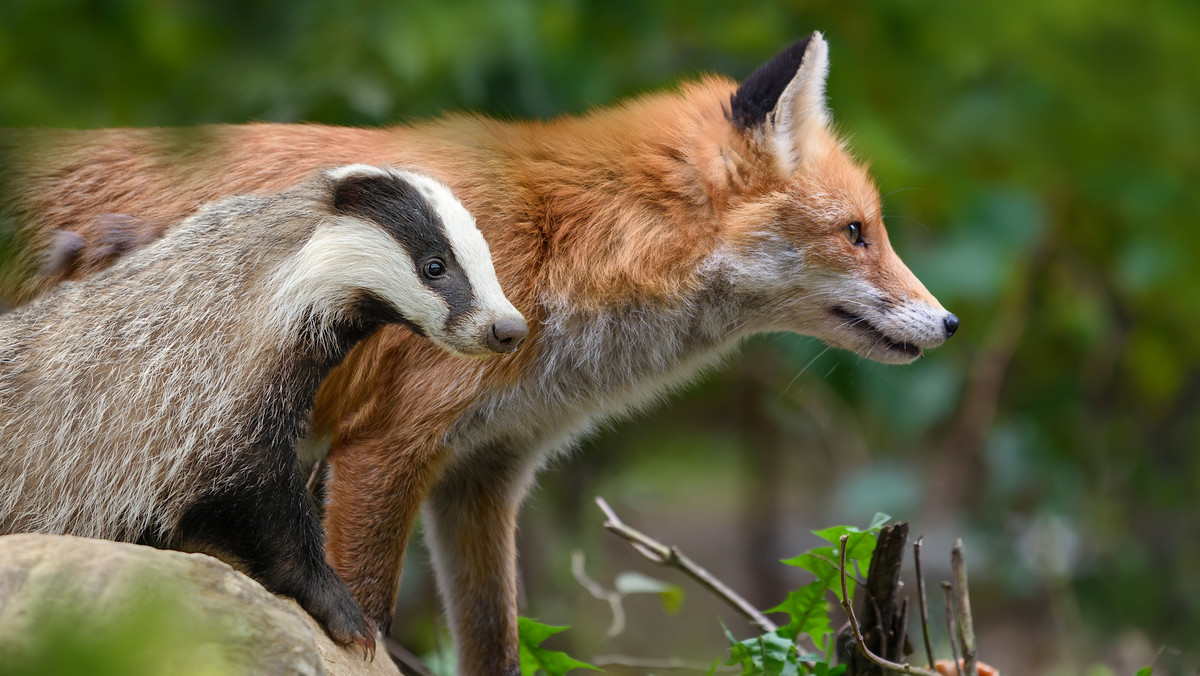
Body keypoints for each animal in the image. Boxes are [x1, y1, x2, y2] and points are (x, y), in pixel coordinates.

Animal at [0, 33, 955, 676]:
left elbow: (493, 641)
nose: (948, 324)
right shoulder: (383, 450)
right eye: (857, 233)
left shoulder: (485, 475)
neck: (561, 245)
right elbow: (367, 611)